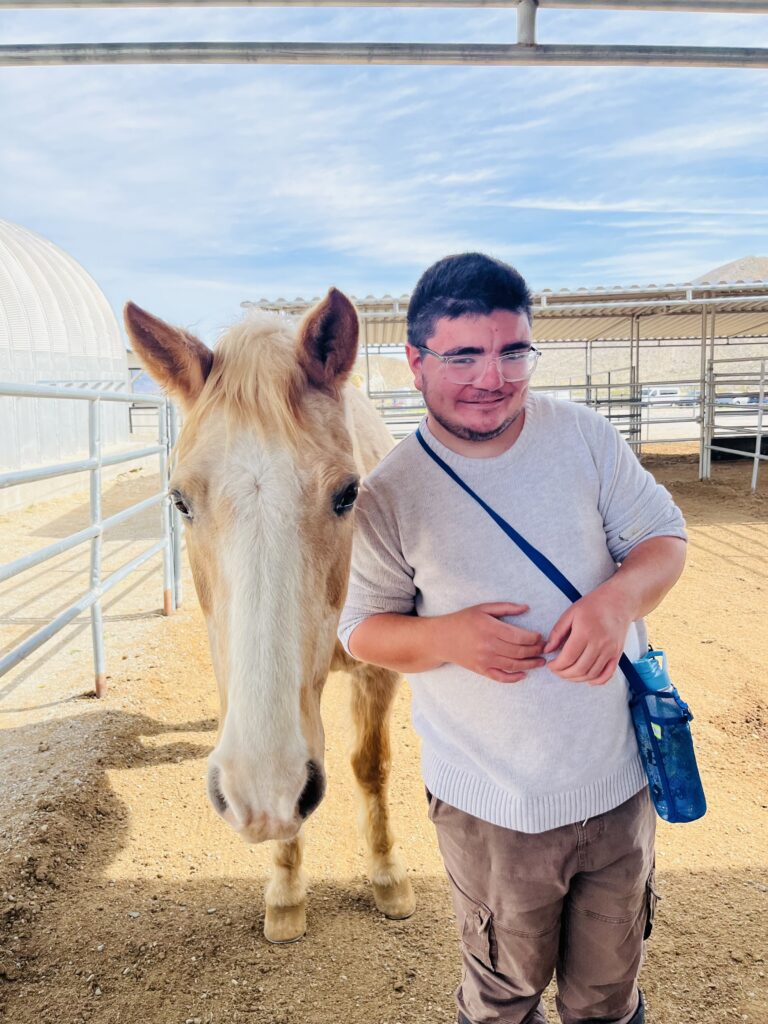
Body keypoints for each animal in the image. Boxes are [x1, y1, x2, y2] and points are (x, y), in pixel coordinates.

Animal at [124, 290, 415, 943]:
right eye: (179, 500)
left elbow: (371, 767)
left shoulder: (378, 673)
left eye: (348, 494)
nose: (264, 794)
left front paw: (388, 877)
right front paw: (285, 891)